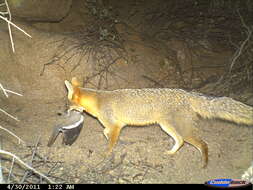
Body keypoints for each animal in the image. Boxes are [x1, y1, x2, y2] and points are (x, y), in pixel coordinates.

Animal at [63, 77, 253, 168]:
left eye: (67, 105)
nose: (62, 112)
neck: (99, 101)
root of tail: (186, 93)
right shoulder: (116, 126)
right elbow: (105, 132)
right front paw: (106, 139)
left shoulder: (116, 126)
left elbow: (110, 143)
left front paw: (105, 154)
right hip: (167, 126)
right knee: (180, 141)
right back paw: (171, 153)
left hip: (181, 130)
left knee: (203, 144)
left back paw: (204, 165)